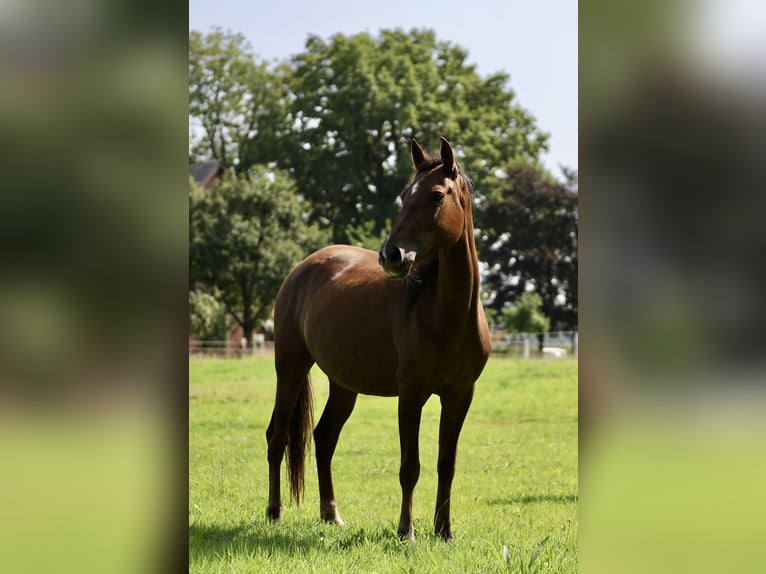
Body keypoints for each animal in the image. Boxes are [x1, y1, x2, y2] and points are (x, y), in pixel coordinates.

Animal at [265, 137, 491, 542]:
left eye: (436, 195)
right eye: (404, 195)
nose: (392, 255)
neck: (445, 314)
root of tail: (303, 268)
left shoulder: (460, 395)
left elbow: (446, 464)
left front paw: (444, 531)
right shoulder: (411, 394)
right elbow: (410, 466)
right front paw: (407, 531)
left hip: (343, 385)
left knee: (324, 439)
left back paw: (331, 515)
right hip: (290, 368)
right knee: (278, 439)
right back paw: (274, 512)